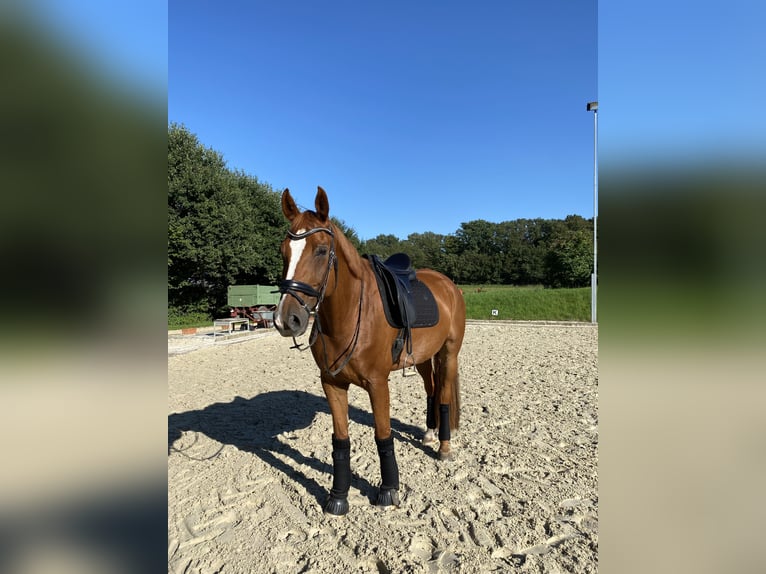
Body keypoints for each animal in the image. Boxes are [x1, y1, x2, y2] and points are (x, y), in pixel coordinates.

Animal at [276, 188, 468, 516]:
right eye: (284, 251)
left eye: (321, 250)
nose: (287, 319)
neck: (351, 313)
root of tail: (449, 285)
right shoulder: (332, 384)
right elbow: (341, 440)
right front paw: (338, 497)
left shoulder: (378, 384)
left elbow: (383, 436)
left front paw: (388, 491)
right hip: (422, 358)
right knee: (431, 389)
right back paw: (429, 433)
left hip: (449, 354)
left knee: (443, 395)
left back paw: (444, 447)